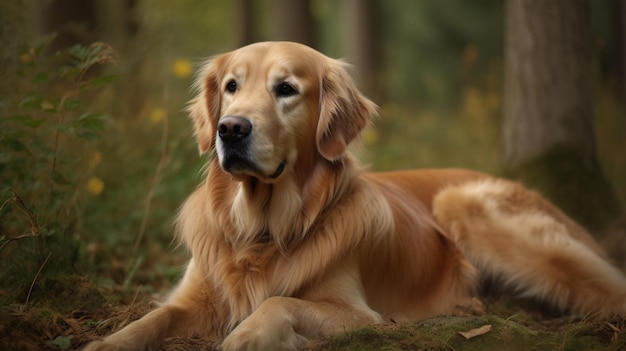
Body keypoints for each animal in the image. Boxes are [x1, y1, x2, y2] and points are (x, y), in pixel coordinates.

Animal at [84, 42, 624, 351]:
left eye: (286, 89)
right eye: (232, 86)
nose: (230, 129)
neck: (261, 228)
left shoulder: (360, 315)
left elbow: (277, 300)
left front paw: (247, 335)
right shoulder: (195, 294)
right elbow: (153, 318)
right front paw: (108, 343)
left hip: (468, 205)